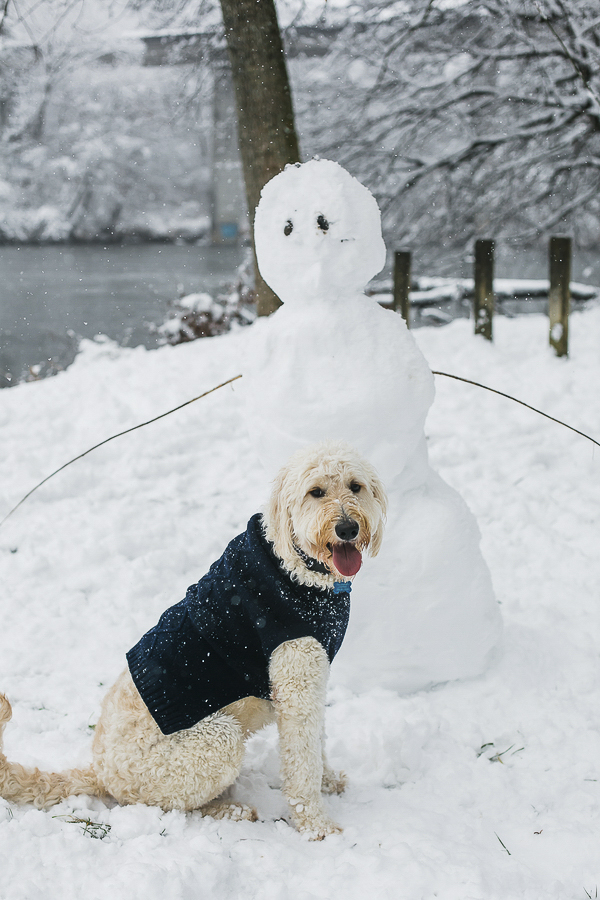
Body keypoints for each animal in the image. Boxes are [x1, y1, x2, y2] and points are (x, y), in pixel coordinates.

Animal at [0, 440, 386, 840]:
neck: (295, 569)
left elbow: (317, 742)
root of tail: (101, 772)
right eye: (316, 492)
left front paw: (329, 781)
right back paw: (229, 810)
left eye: (355, 486)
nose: (347, 527)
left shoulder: (313, 677)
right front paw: (317, 826)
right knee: (173, 805)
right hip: (216, 741)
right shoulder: (296, 676)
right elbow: (302, 764)